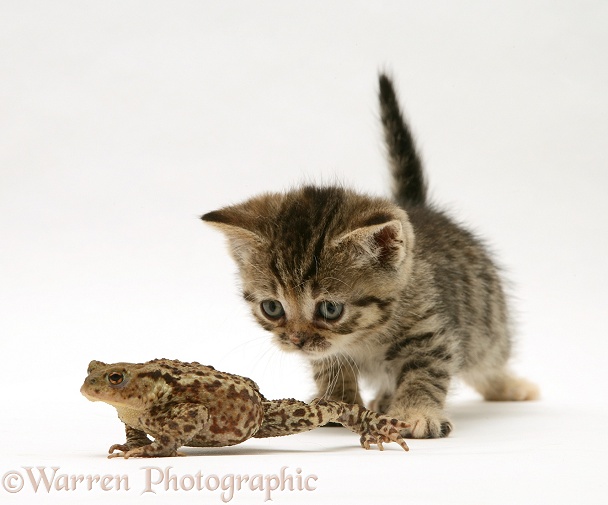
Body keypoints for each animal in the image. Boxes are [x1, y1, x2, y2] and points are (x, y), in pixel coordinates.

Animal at [203, 74, 536, 438]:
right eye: (272, 308)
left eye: (330, 309)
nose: (296, 340)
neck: (365, 337)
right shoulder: (328, 352)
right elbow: (331, 368)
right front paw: (338, 404)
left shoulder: (430, 332)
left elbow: (425, 372)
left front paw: (417, 413)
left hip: (486, 325)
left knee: (487, 361)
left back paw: (509, 387)